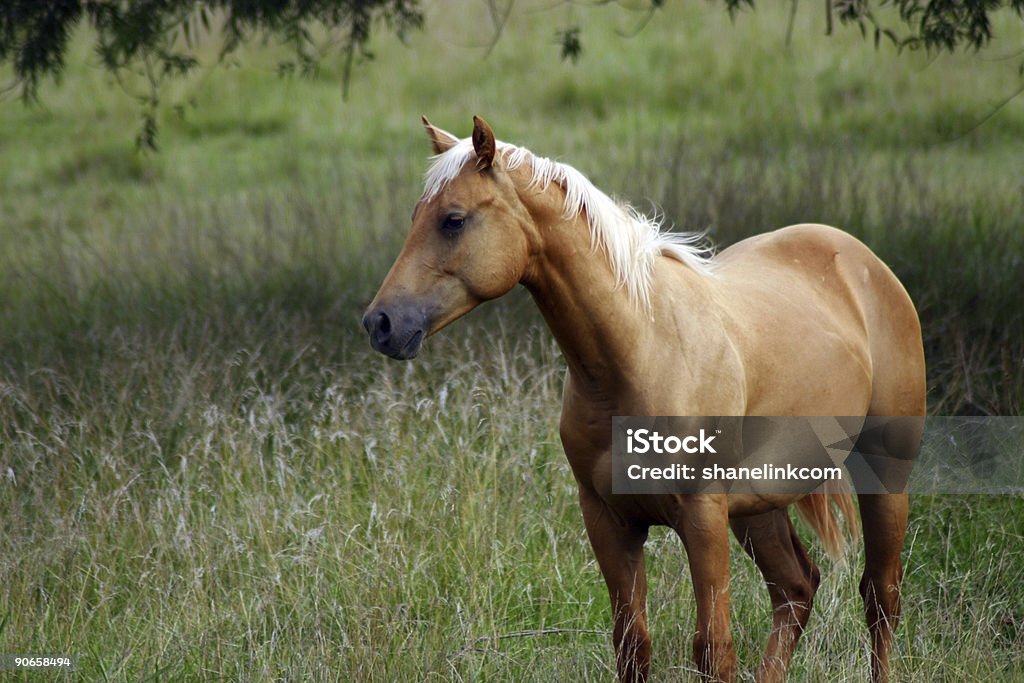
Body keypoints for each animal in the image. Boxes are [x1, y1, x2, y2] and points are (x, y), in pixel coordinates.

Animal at [362, 117, 929, 683]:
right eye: (417, 216)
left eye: (453, 220)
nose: (380, 323)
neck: (642, 353)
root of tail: (860, 259)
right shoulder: (610, 522)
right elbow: (633, 645)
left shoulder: (702, 518)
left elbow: (713, 649)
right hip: (759, 506)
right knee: (796, 588)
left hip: (883, 479)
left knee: (879, 597)